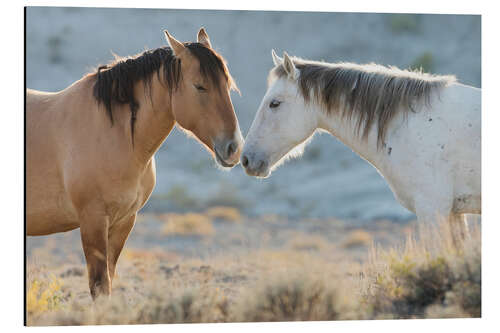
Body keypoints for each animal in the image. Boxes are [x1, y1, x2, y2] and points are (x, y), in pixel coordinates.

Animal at [26, 28, 243, 298]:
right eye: (200, 86)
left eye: (227, 85)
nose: (234, 148)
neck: (111, 131)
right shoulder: (92, 221)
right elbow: (99, 286)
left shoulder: (124, 222)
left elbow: (108, 282)